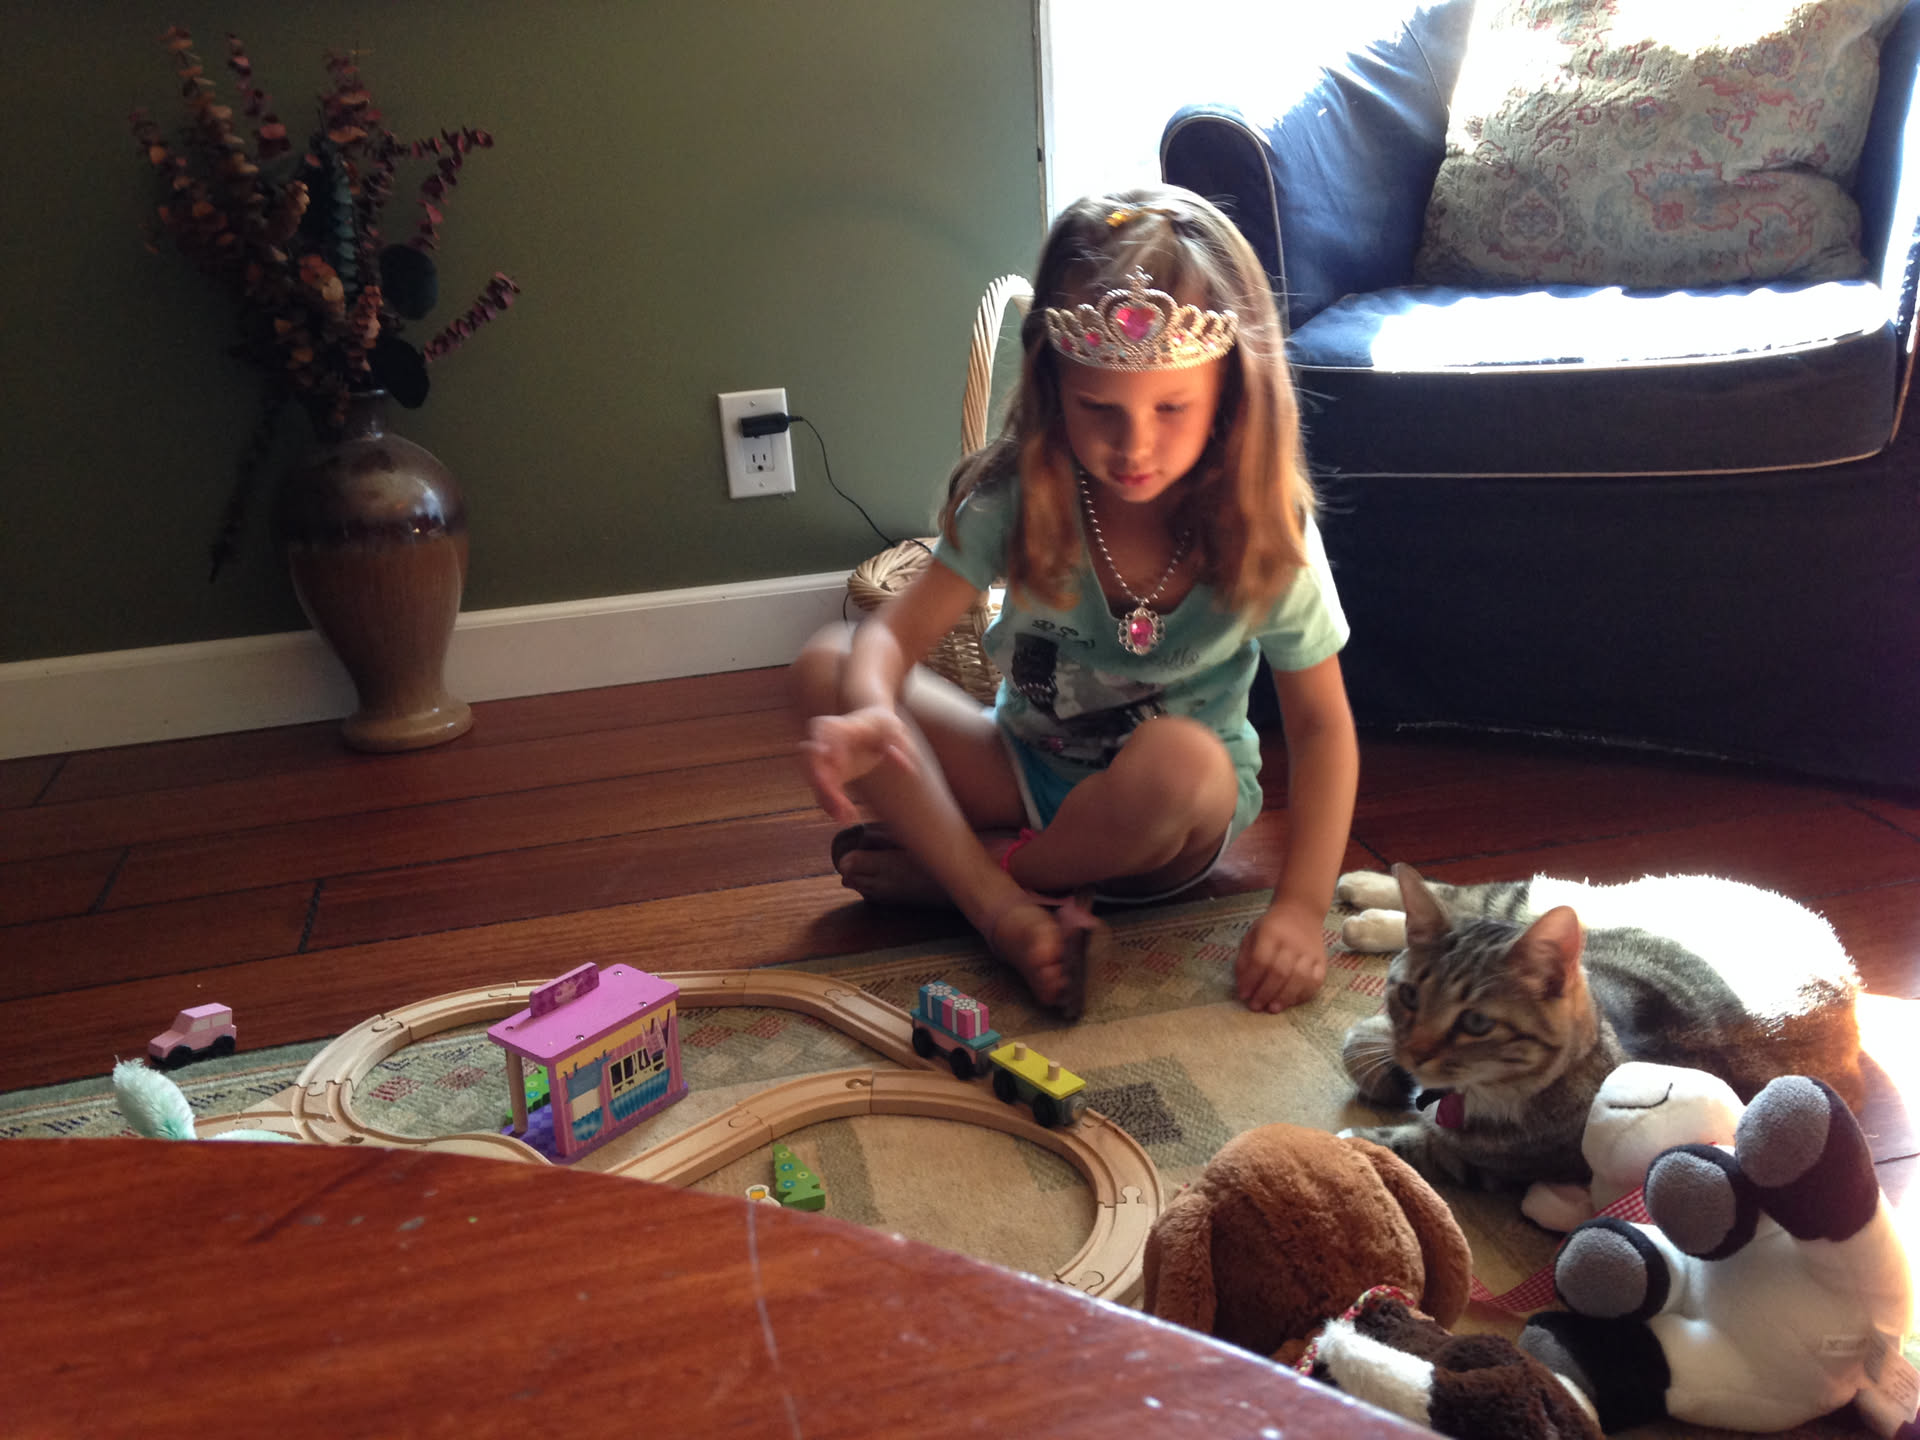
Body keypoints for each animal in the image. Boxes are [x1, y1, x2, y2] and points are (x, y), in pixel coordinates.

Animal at [1336, 864, 1864, 1190]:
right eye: (1409, 996)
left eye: (1477, 1022)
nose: (1415, 1052)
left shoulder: (1484, 1164)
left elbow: (1396, 1145)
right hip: (1543, 903)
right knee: (1465, 896)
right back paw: (1363, 894)